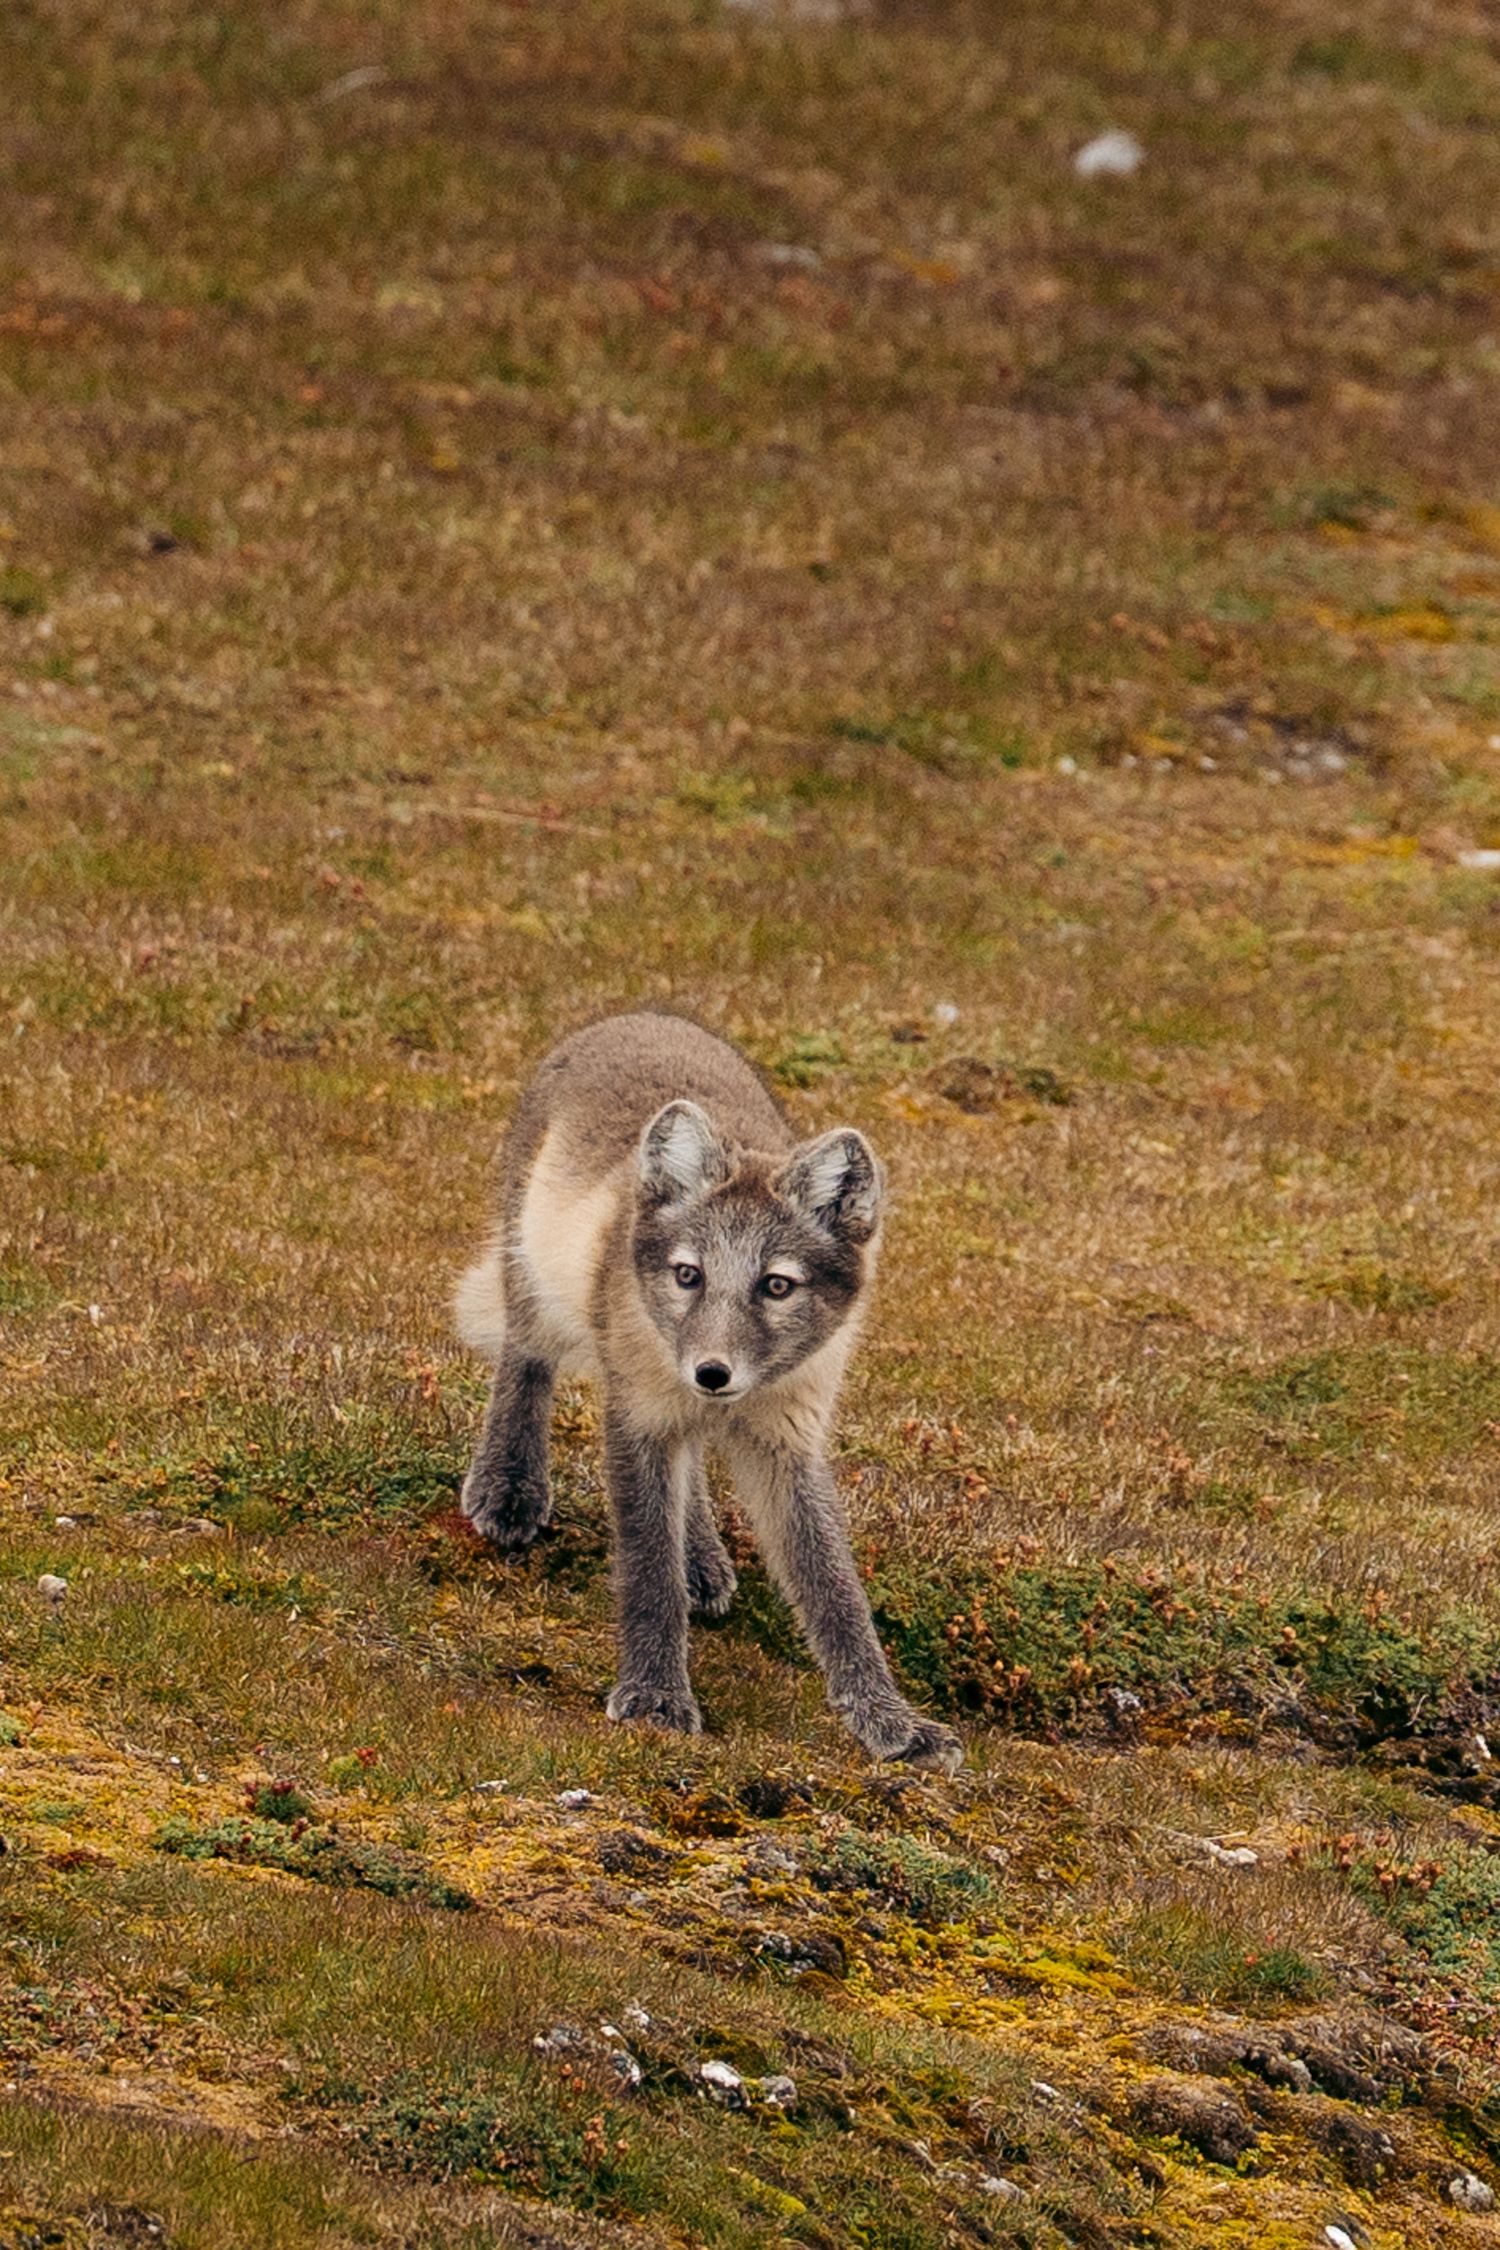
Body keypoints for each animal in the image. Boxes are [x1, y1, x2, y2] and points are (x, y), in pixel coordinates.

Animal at [454, 1011, 962, 1775]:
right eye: (688, 1274)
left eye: (777, 1285)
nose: (712, 1373)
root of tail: (635, 1015)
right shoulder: (638, 1413)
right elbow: (646, 1564)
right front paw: (654, 1698)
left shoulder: (789, 1439)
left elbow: (835, 1591)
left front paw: (891, 1722)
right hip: (535, 1270)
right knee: (526, 1361)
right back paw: (509, 1483)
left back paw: (700, 1559)